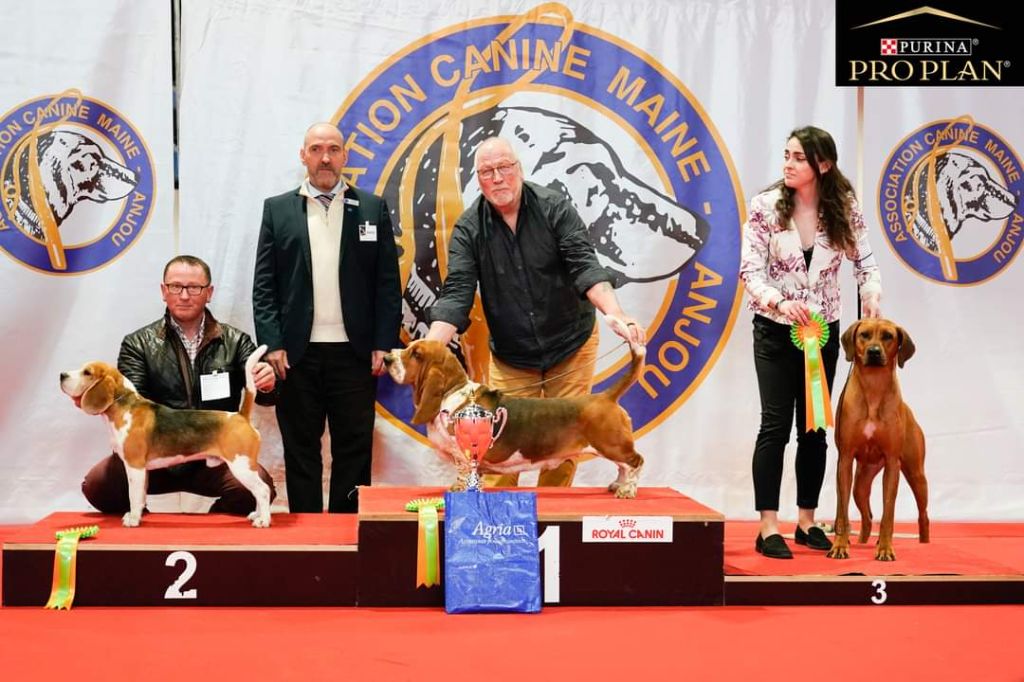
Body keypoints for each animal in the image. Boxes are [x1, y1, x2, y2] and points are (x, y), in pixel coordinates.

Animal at [831, 317, 929, 557]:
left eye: (888, 336)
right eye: (864, 335)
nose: (874, 352)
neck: (873, 389)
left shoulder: (892, 463)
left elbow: (888, 513)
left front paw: (885, 548)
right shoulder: (844, 460)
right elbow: (842, 511)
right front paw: (839, 545)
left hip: (917, 475)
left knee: (923, 515)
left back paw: (925, 545)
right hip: (861, 482)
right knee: (866, 516)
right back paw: (860, 541)